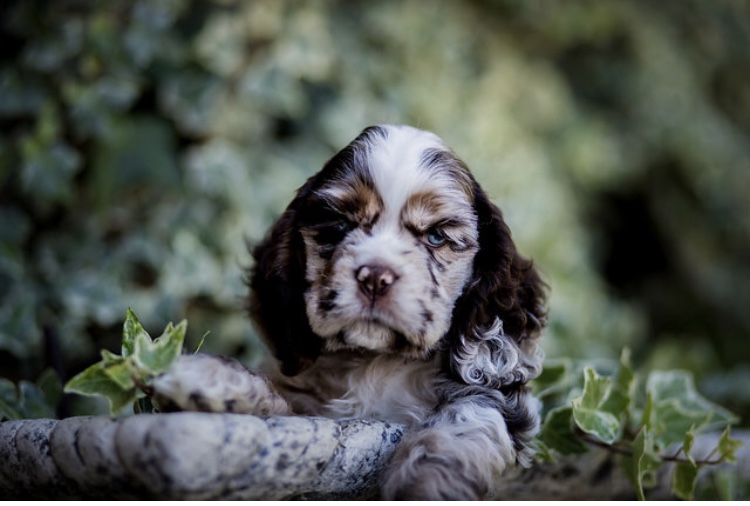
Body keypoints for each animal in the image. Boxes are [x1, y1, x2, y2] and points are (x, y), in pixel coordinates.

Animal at [151, 124, 548, 500]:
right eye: (339, 225)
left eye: (436, 236)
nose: (375, 276)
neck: (374, 361)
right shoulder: (311, 417)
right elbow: (283, 406)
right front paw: (214, 380)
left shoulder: (499, 399)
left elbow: (465, 420)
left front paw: (429, 487)